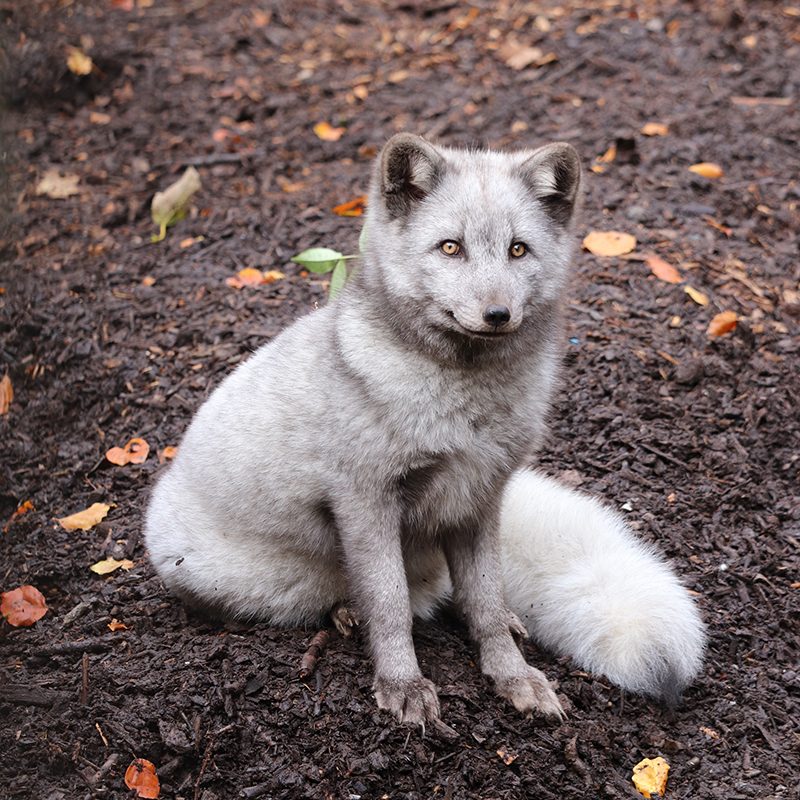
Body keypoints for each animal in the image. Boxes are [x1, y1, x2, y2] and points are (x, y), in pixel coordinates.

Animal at [145, 136, 708, 724]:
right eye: (450, 248)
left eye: (519, 250)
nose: (497, 314)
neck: (468, 410)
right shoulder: (366, 500)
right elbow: (389, 603)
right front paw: (402, 684)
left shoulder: (480, 497)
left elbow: (485, 600)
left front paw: (512, 676)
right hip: (229, 576)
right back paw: (346, 613)